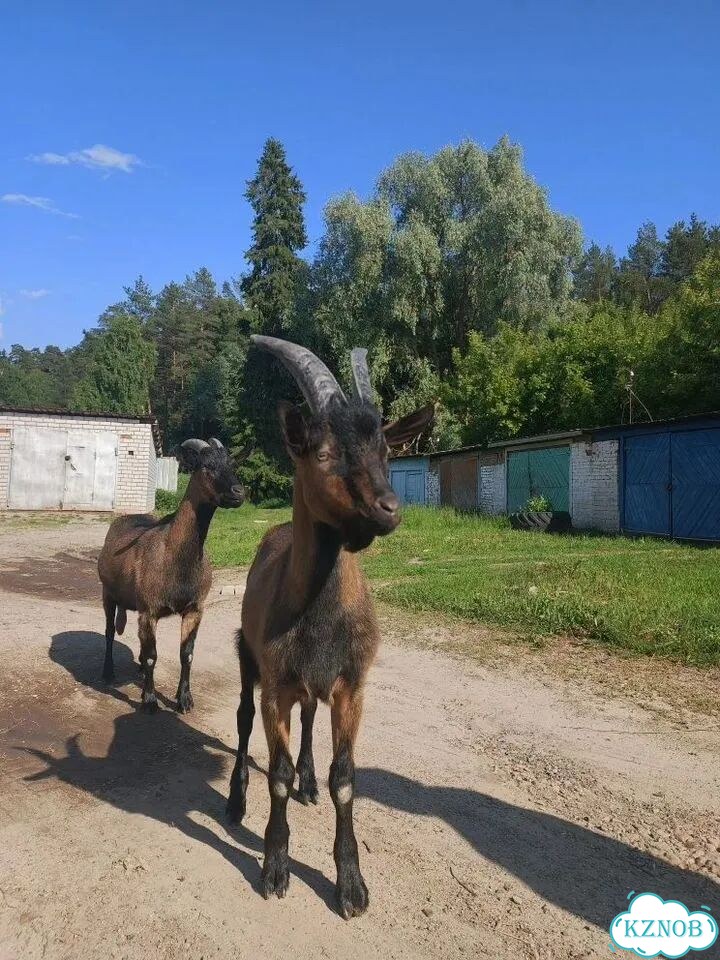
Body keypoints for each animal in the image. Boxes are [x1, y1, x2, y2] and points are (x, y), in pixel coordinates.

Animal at [98, 438, 244, 712]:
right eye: (206, 466)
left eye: (232, 464)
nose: (239, 492)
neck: (174, 554)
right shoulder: (149, 609)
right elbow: (152, 657)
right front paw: (149, 701)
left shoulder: (195, 609)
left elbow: (186, 654)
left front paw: (184, 699)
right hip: (107, 594)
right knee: (110, 631)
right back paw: (107, 672)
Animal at [226, 336, 434, 918]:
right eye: (321, 453)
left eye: (385, 450)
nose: (389, 508)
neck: (318, 614)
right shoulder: (276, 682)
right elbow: (274, 776)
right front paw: (275, 868)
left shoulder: (351, 685)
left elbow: (347, 781)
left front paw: (352, 885)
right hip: (248, 658)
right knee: (243, 720)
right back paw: (235, 799)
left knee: (309, 717)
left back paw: (309, 779)